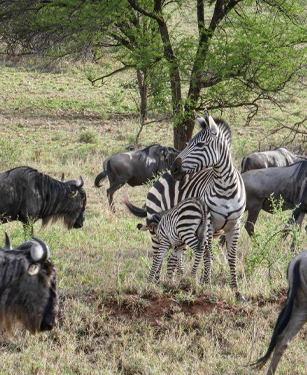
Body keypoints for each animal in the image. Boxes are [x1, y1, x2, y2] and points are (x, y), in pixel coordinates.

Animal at [126, 111, 247, 300]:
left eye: (200, 144)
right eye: (188, 143)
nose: (175, 169)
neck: (226, 188)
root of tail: (162, 176)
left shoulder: (235, 225)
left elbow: (232, 257)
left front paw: (236, 291)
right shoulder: (209, 224)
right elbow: (208, 255)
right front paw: (206, 284)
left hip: (179, 230)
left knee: (174, 257)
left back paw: (177, 281)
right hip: (157, 228)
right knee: (158, 256)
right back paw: (155, 285)